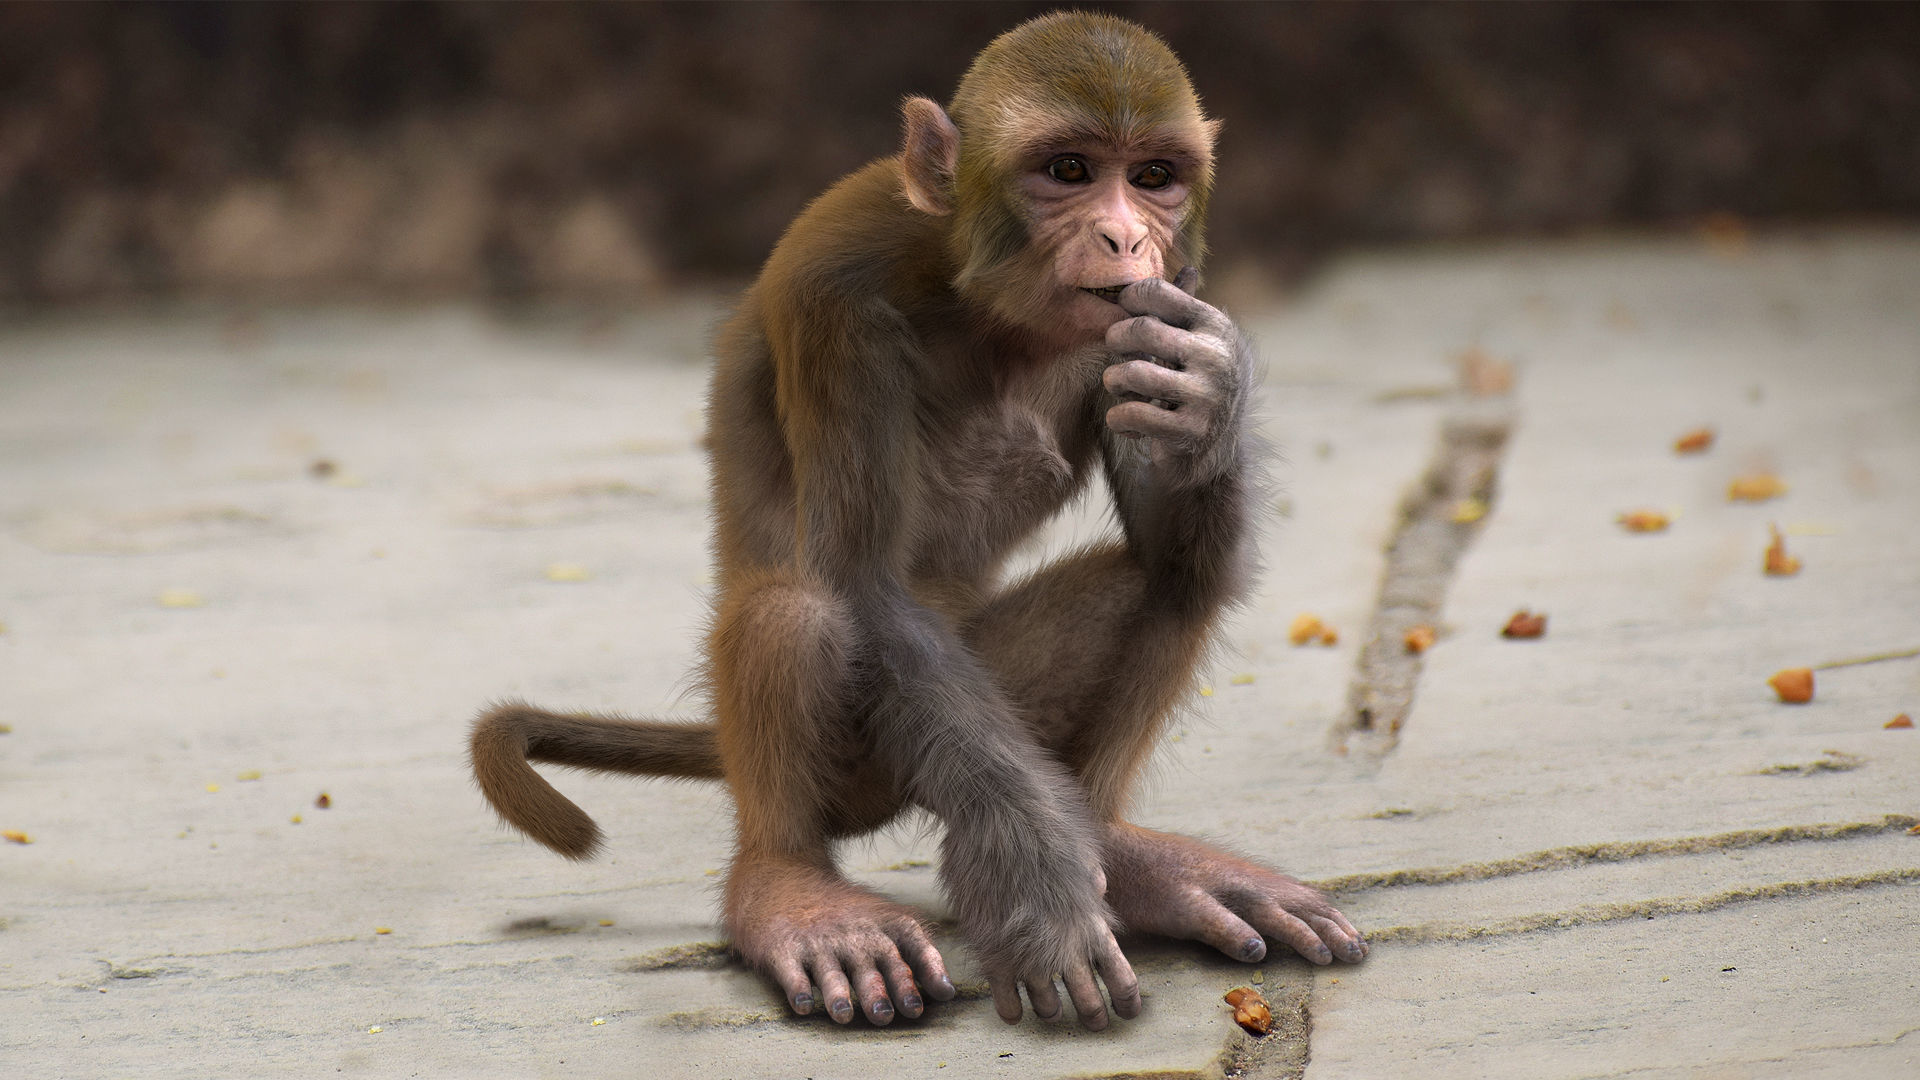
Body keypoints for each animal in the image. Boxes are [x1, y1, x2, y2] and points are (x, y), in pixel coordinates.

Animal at [470, 11, 1367, 1031]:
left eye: (1152, 177)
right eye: (1068, 170)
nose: (1126, 237)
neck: (973, 298)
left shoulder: (1163, 304)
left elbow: (1169, 536)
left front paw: (1210, 394)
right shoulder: (835, 297)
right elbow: (867, 588)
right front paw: (1034, 892)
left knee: (1177, 574)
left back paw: (1120, 852)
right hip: (869, 761)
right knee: (796, 608)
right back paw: (789, 890)